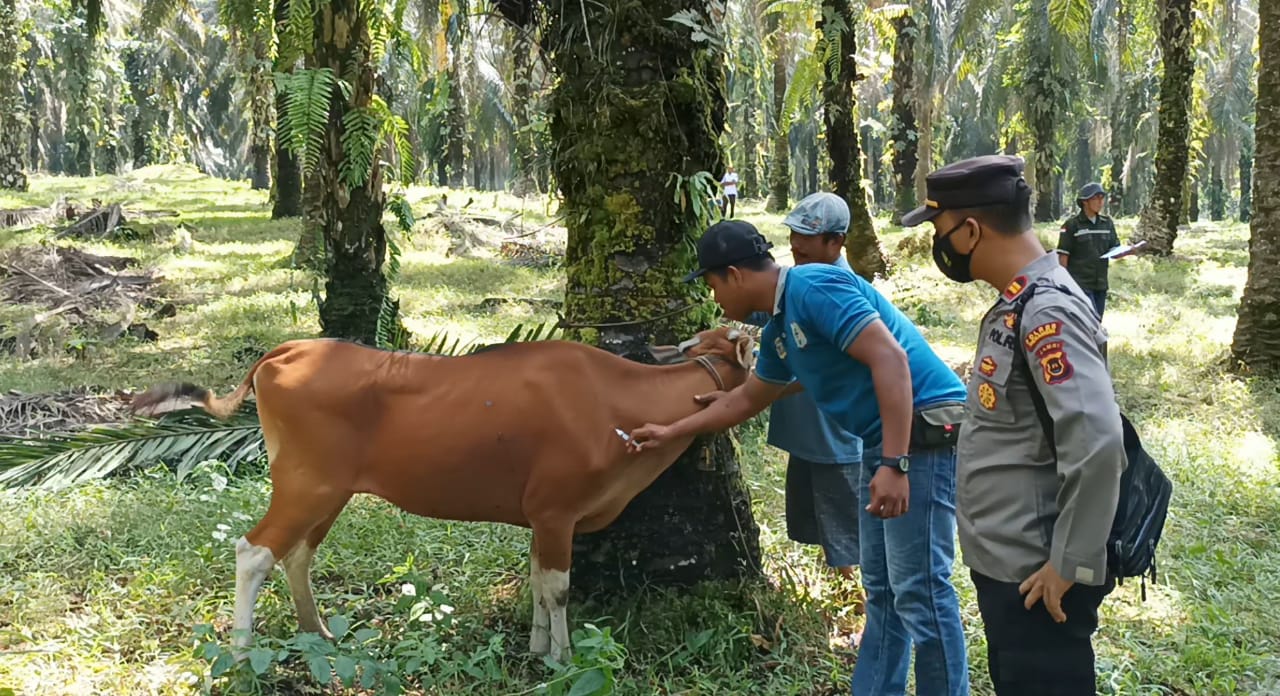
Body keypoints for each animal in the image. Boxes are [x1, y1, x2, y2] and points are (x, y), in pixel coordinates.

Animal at [132, 326, 747, 660]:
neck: (616, 399)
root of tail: (285, 351)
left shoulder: (543, 518)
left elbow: (537, 582)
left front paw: (537, 648)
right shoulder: (556, 511)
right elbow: (558, 590)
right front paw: (563, 656)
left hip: (327, 490)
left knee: (297, 554)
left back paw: (317, 632)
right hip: (306, 485)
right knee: (254, 551)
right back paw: (241, 652)